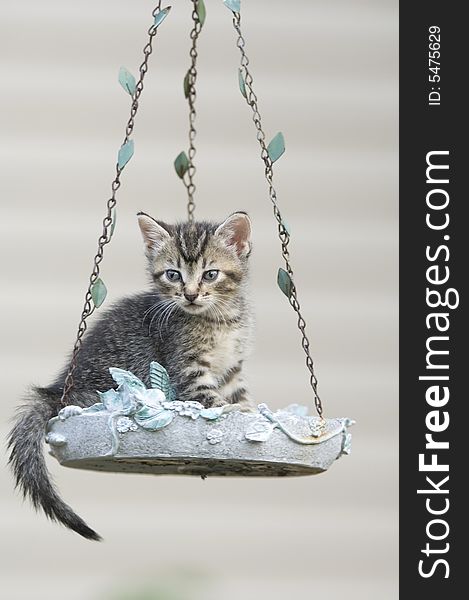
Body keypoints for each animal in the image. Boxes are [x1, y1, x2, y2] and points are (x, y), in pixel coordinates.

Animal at [7, 210, 252, 540]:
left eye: (210, 274)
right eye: (173, 275)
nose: (190, 295)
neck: (219, 319)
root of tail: (57, 392)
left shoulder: (232, 368)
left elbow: (242, 397)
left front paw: (254, 413)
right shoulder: (188, 370)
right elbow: (213, 400)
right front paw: (239, 414)